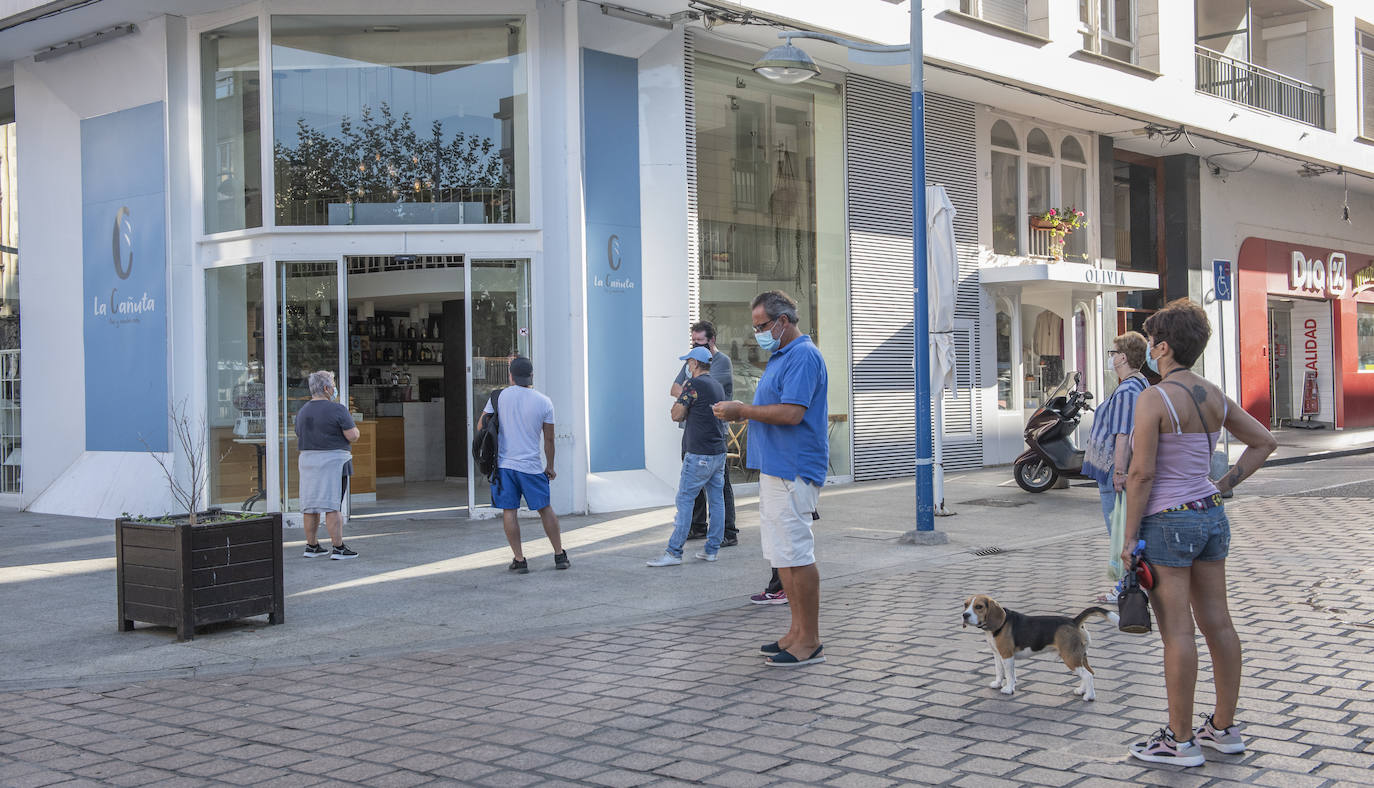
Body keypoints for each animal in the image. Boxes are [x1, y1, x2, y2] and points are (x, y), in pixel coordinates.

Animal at [967, 595, 1115, 700]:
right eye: (966, 605)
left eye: (979, 606)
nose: (964, 615)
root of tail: (1074, 621)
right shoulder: (998, 654)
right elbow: (999, 671)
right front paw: (997, 684)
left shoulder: (1007, 655)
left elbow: (1009, 674)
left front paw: (1008, 689)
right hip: (1080, 656)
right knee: (1089, 673)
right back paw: (1081, 691)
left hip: (1070, 657)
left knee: (1088, 675)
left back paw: (1089, 696)